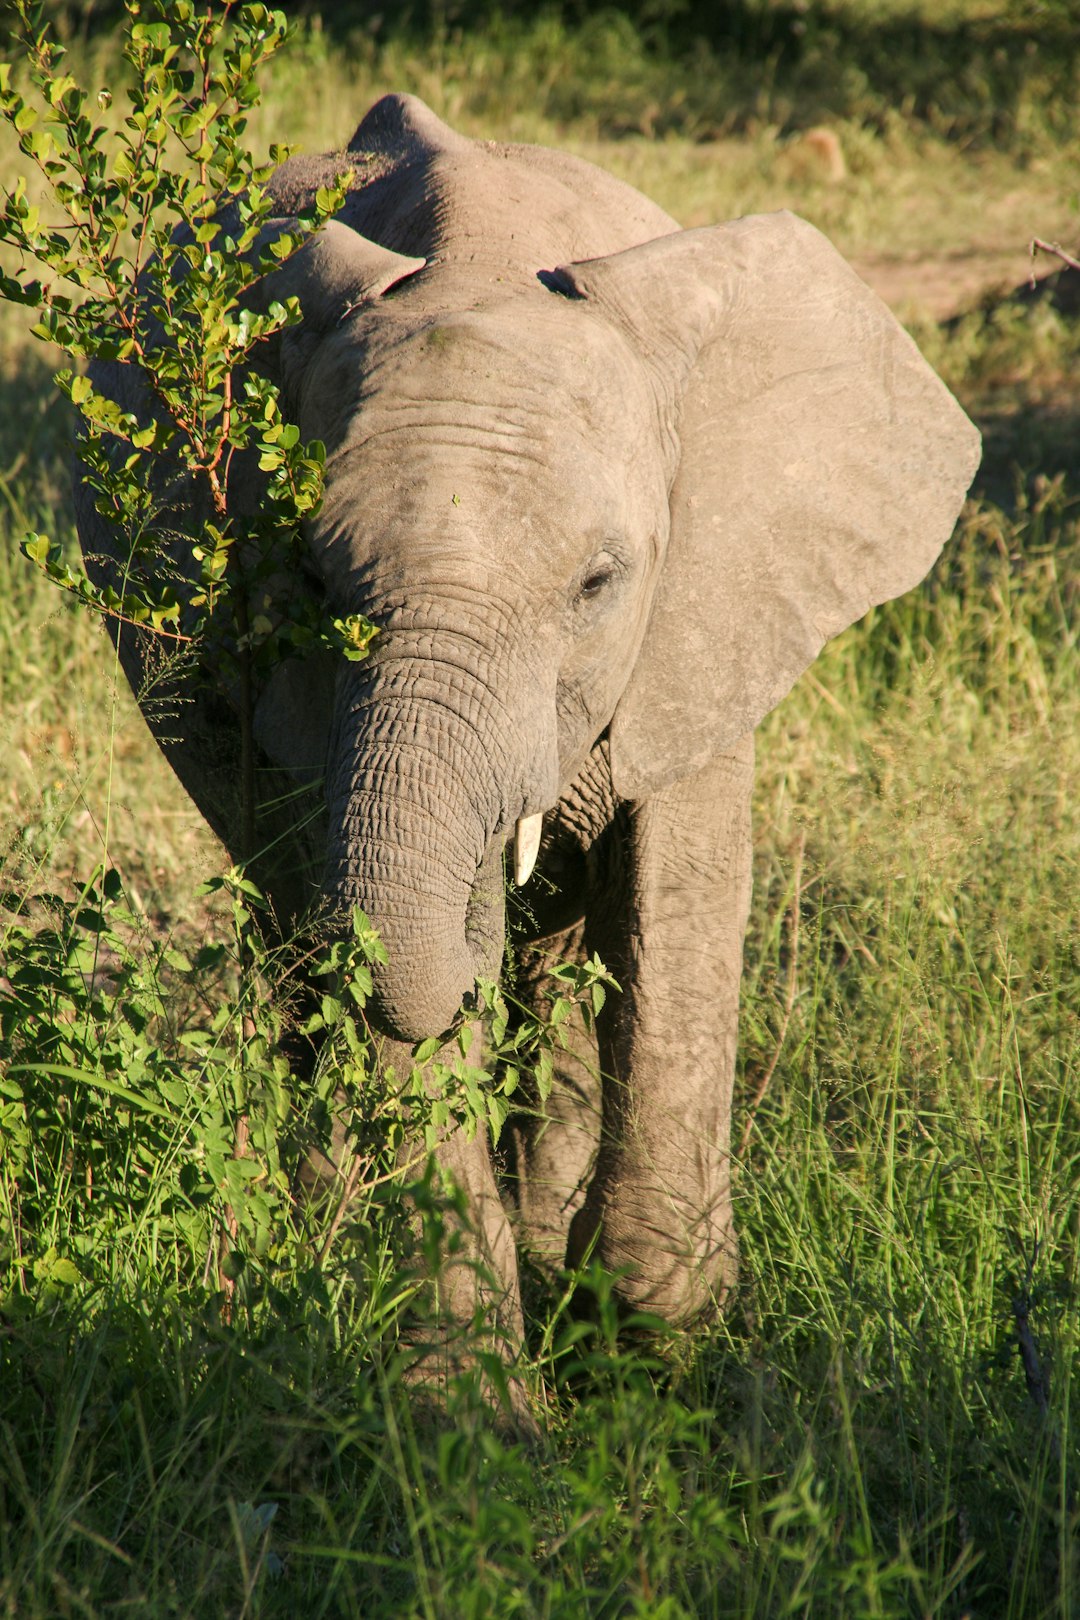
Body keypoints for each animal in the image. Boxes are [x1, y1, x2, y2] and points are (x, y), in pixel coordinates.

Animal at [74, 94, 977, 1367]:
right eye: (308, 577)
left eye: (599, 583)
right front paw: (460, 1393)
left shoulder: (708, 610)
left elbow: (677, 890)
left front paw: (653, 1337)